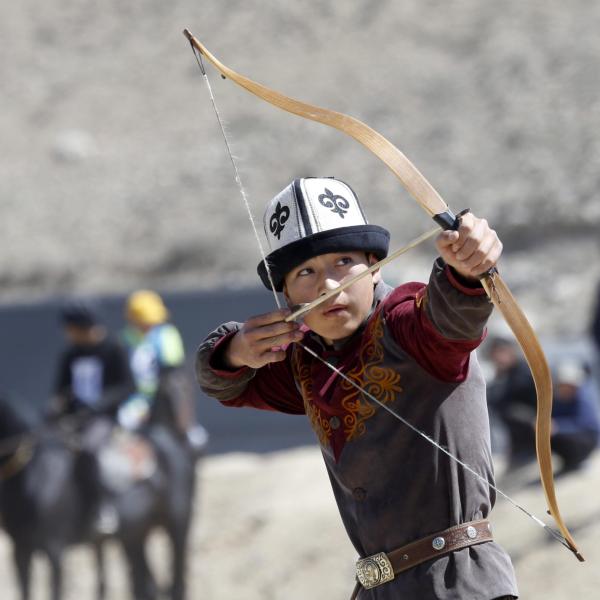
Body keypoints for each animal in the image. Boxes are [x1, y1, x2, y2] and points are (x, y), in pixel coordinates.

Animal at [0, 394, 197, 600]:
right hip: (135, 534)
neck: (34, 474)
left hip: (178, 523)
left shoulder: (55, 549)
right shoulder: (20, 549)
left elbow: (55, 591)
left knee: (177, 583)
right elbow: (24, 590)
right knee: (144, 585)